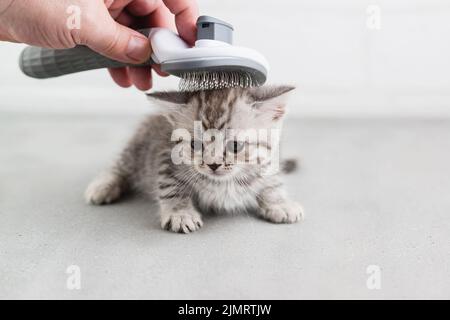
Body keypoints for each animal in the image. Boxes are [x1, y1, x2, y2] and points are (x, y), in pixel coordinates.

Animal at [85, 85, 302, 232]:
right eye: (195, 145)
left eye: (235, 145)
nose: (213, 164)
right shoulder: (166, 159)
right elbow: (171, 187)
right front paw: (180, 213)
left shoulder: (269, 163)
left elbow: (272, 181)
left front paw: (280, 202)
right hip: (139, 149)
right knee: (120, 166)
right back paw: (103, 186)